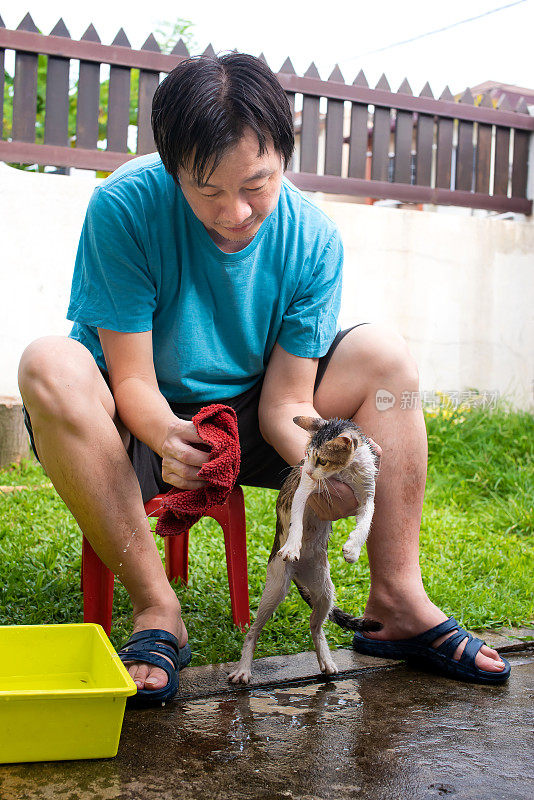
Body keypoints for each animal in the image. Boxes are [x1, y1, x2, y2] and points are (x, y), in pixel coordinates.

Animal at [228, 416, 384, 684]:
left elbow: (366, 521)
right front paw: (292, 545)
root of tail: (300, 573)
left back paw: (326, 660)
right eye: (306, 456)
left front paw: (353, 548)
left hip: (324, 590)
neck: (343, 472)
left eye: (322, 460)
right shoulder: (304, 487)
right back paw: (243, 668)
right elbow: (297, 520)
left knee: (315, 624)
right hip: (276, 586)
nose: (308, 469)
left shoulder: (367, 494)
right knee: (253, 631)